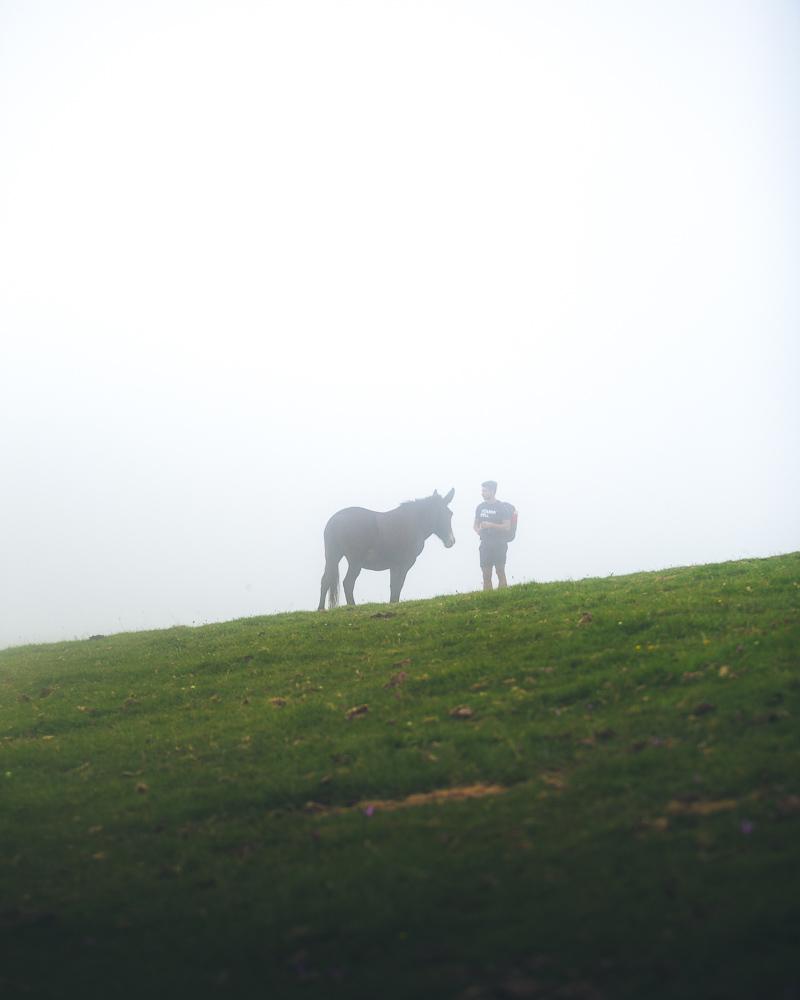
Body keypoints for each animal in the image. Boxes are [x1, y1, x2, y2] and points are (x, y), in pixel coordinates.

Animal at [318, 486, 456, 604]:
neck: (413, 523)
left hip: (332, 557)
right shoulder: (404, 564)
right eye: (442, 513)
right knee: (348, 583)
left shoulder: (394, 566)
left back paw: (321, 609)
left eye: (450, 513)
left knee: (325, 580)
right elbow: (398, 585)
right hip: (355, 562)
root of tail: (335, 520)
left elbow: (393, 586)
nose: (451, 541)